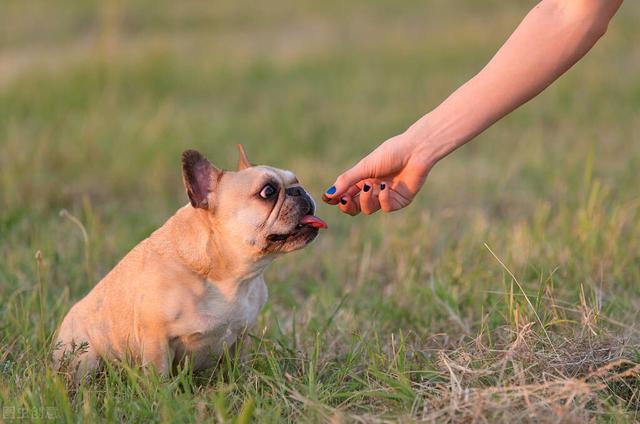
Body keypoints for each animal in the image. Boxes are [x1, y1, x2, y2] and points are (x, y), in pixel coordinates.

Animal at [53, 147, 324, 380]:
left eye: (296, 180)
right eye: (268, 192)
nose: (300, 190)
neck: (229, 277)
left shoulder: (241, 335)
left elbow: (237, 365)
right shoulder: (156, 338)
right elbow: (158, 378)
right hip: (86, 358)